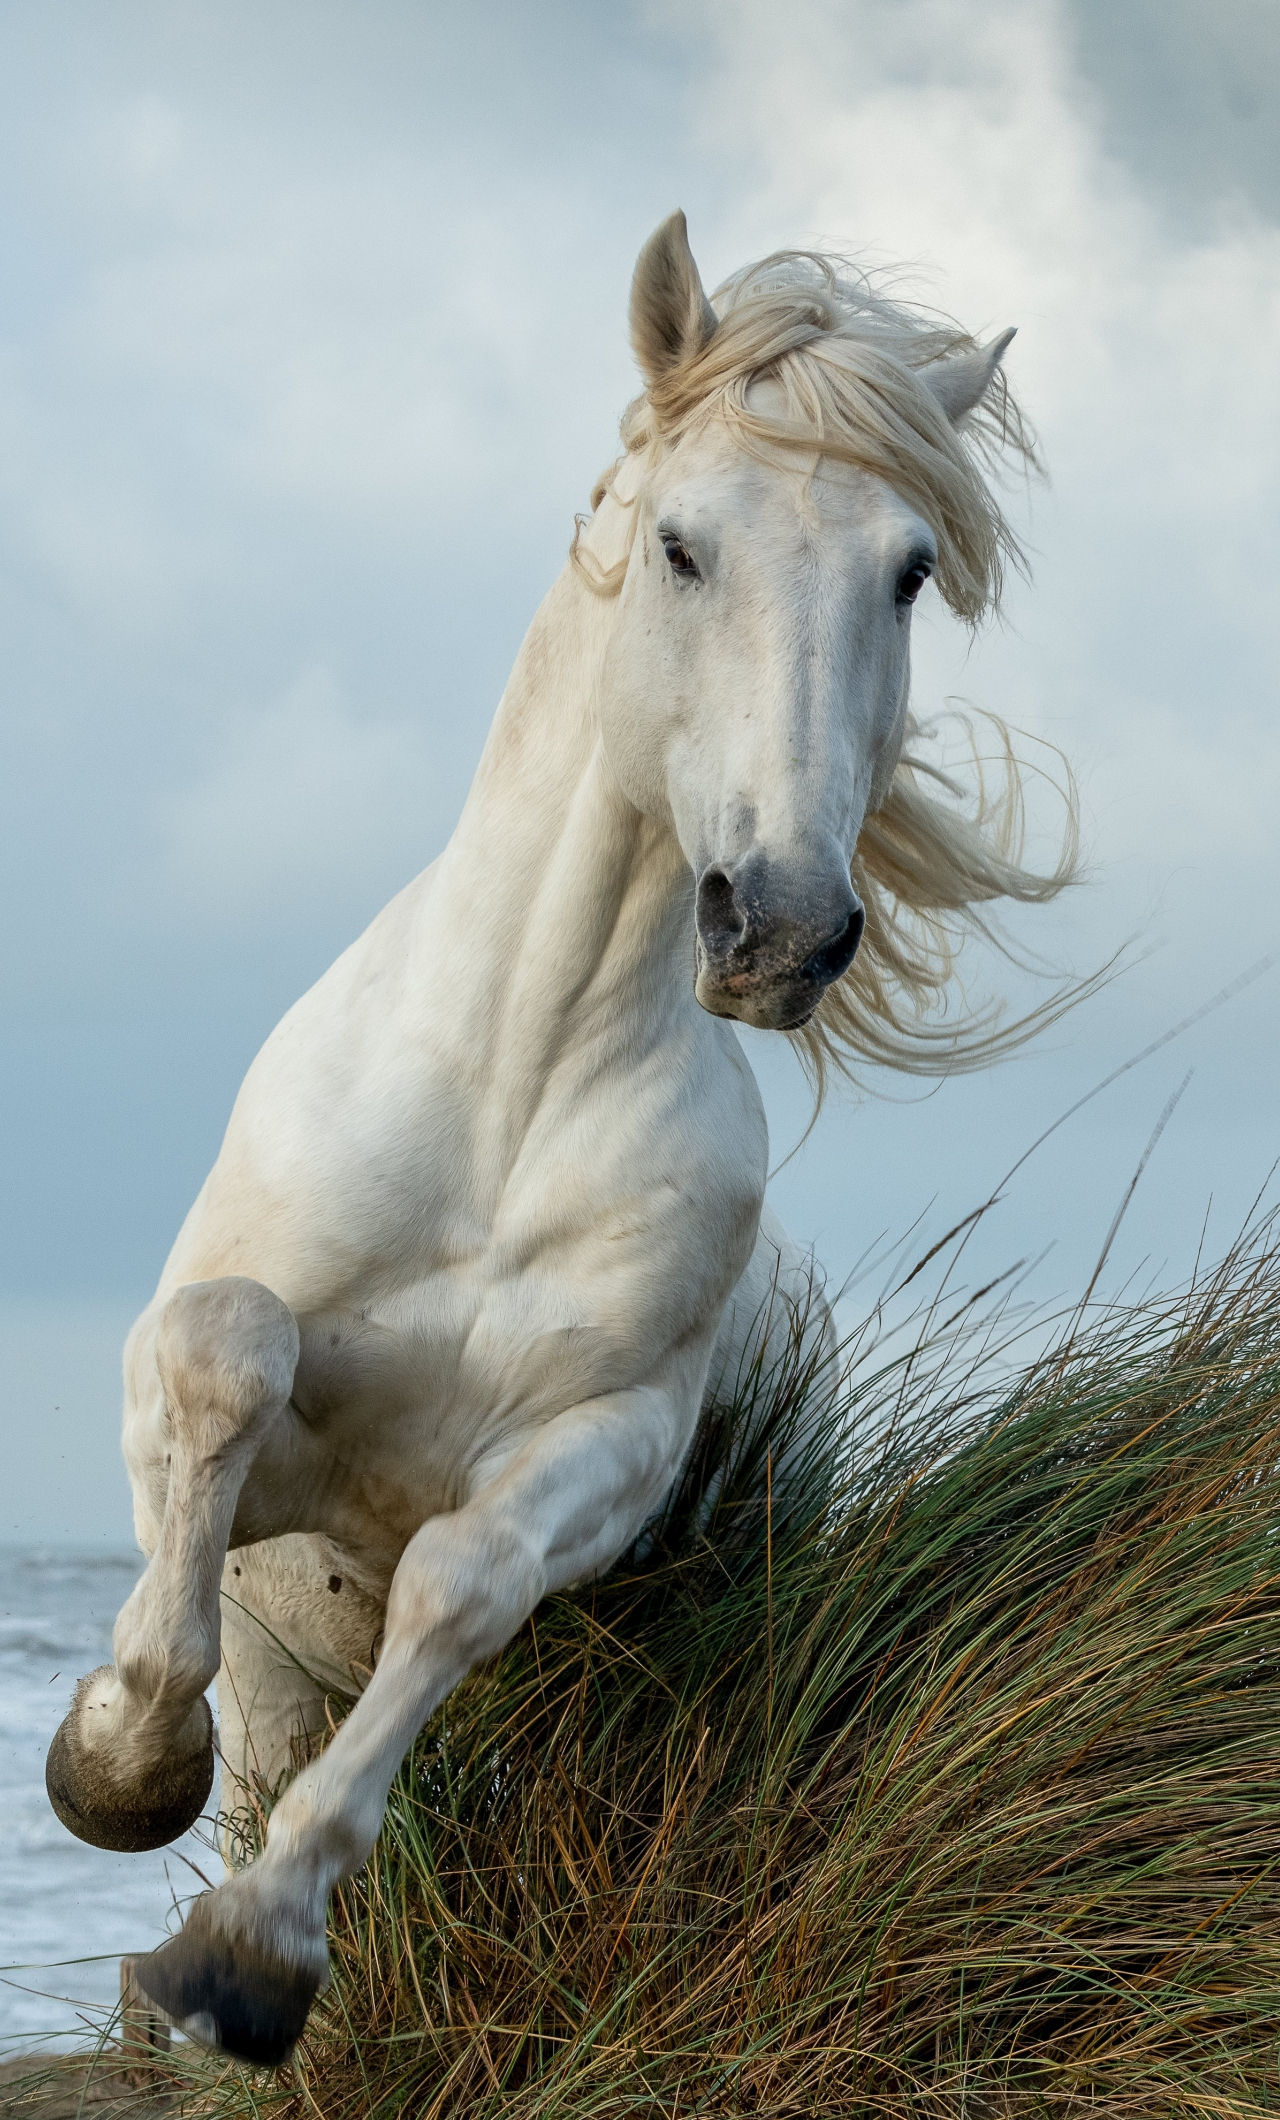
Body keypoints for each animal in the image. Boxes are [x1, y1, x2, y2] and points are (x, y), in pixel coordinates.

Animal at [46, 212, 1076, 2067]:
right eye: (680, 545)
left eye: (904, 571)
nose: (783, 926)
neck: (509, 1094)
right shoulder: (259, 1454)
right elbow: (227, 1358)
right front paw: (113, 1767)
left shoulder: (600, 1450)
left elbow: (461, 1575)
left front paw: (249, 1958)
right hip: (287, 1662)